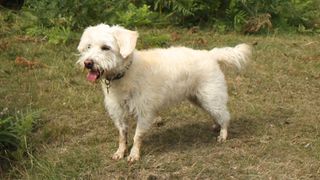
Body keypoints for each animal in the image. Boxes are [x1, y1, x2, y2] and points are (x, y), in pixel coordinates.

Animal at [76, 23, 251, 162]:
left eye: (106, 48)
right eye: (89, 46)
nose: (88, 63)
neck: (125, 73)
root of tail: (210, 54)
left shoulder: (145, 112)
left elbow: (137, 136)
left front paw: (134, 155)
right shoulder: (118, 112)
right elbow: (122, 134)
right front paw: (120, 152)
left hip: (211, 97)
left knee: (225, 115)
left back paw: (223, 134)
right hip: (199, 99)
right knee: (217, 114)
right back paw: (216, 125)